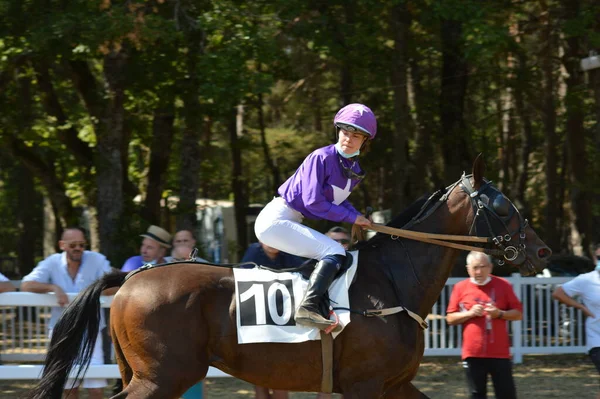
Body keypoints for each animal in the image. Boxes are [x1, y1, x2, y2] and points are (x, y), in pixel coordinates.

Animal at [28, 157, 552, 399]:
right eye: (503, 206)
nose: (542, 250)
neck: (392, 283)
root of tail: (133, 279)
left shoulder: (395, 384)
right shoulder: (364, 385)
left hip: (144, 372)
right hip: (164, 375)